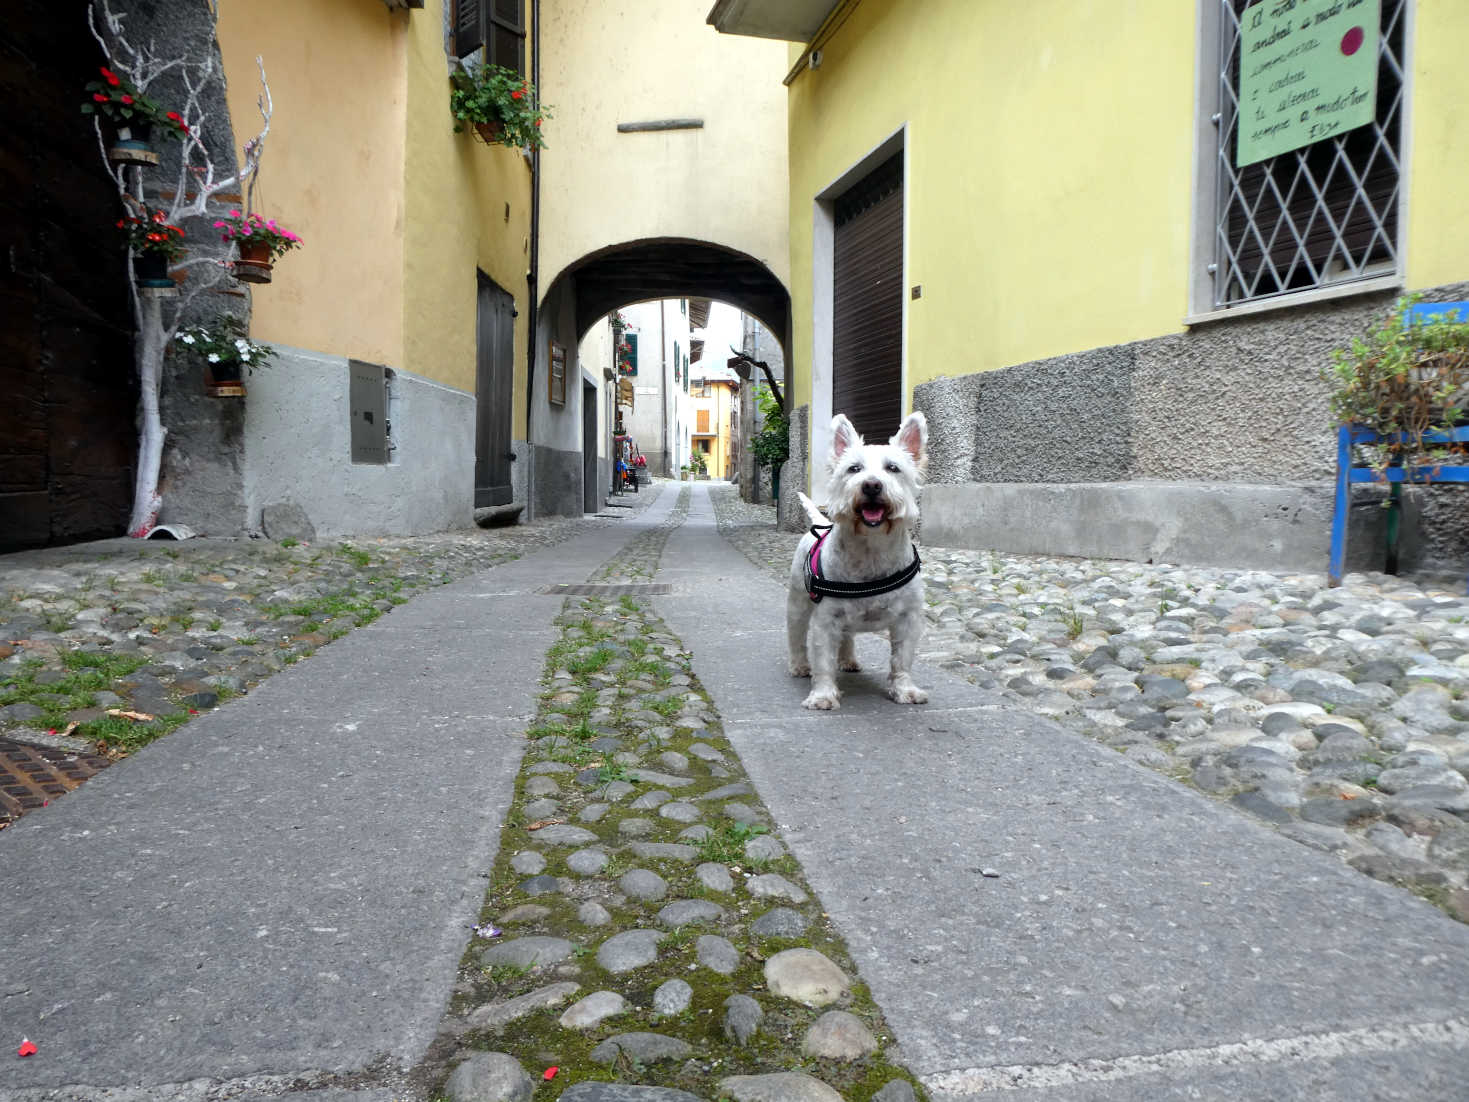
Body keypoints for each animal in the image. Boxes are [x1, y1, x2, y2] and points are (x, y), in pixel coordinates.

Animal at [787, 411, 922, 711]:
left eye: (893, 468)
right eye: (854, 469)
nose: (871, 485)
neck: (871, 549)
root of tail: (821, 523)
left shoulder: (907, 619)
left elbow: (902, 659)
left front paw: (904, 690)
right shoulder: (826, 619)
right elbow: (823, 660)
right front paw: (823, 695)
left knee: (847, 637)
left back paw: (848, 660)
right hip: (798, 604)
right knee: (797, 637)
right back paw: (799, 666)